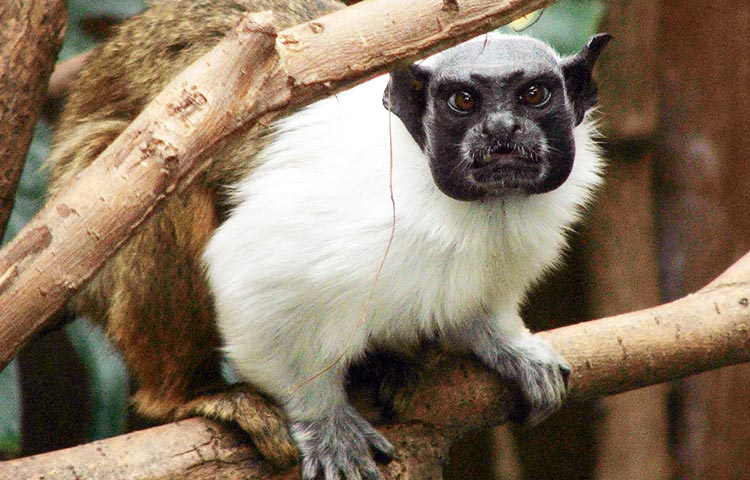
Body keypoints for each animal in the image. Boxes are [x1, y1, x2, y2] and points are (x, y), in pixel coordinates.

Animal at [47, 0, 612, 480]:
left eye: (533, 95)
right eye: (463, 101)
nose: (502, 130)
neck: (478, 208)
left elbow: (476, 305)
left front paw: (502, 341)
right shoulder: (354, 214)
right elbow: (250, 281)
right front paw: (322, 420)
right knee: (171, 190)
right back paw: (192, 391)